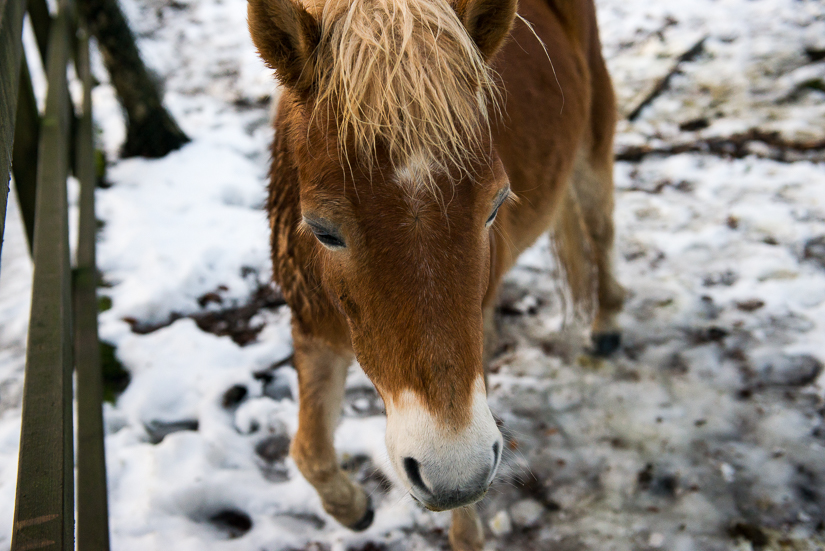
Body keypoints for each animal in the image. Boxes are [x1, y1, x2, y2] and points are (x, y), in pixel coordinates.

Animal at [248, 0, 620, 548]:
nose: (454, 470)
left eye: (494, 207)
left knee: (601, 230)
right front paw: (352, 507)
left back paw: (608, 324)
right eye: (322, 230)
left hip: (593, 141)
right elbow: (308, 450)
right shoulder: (312, 327)